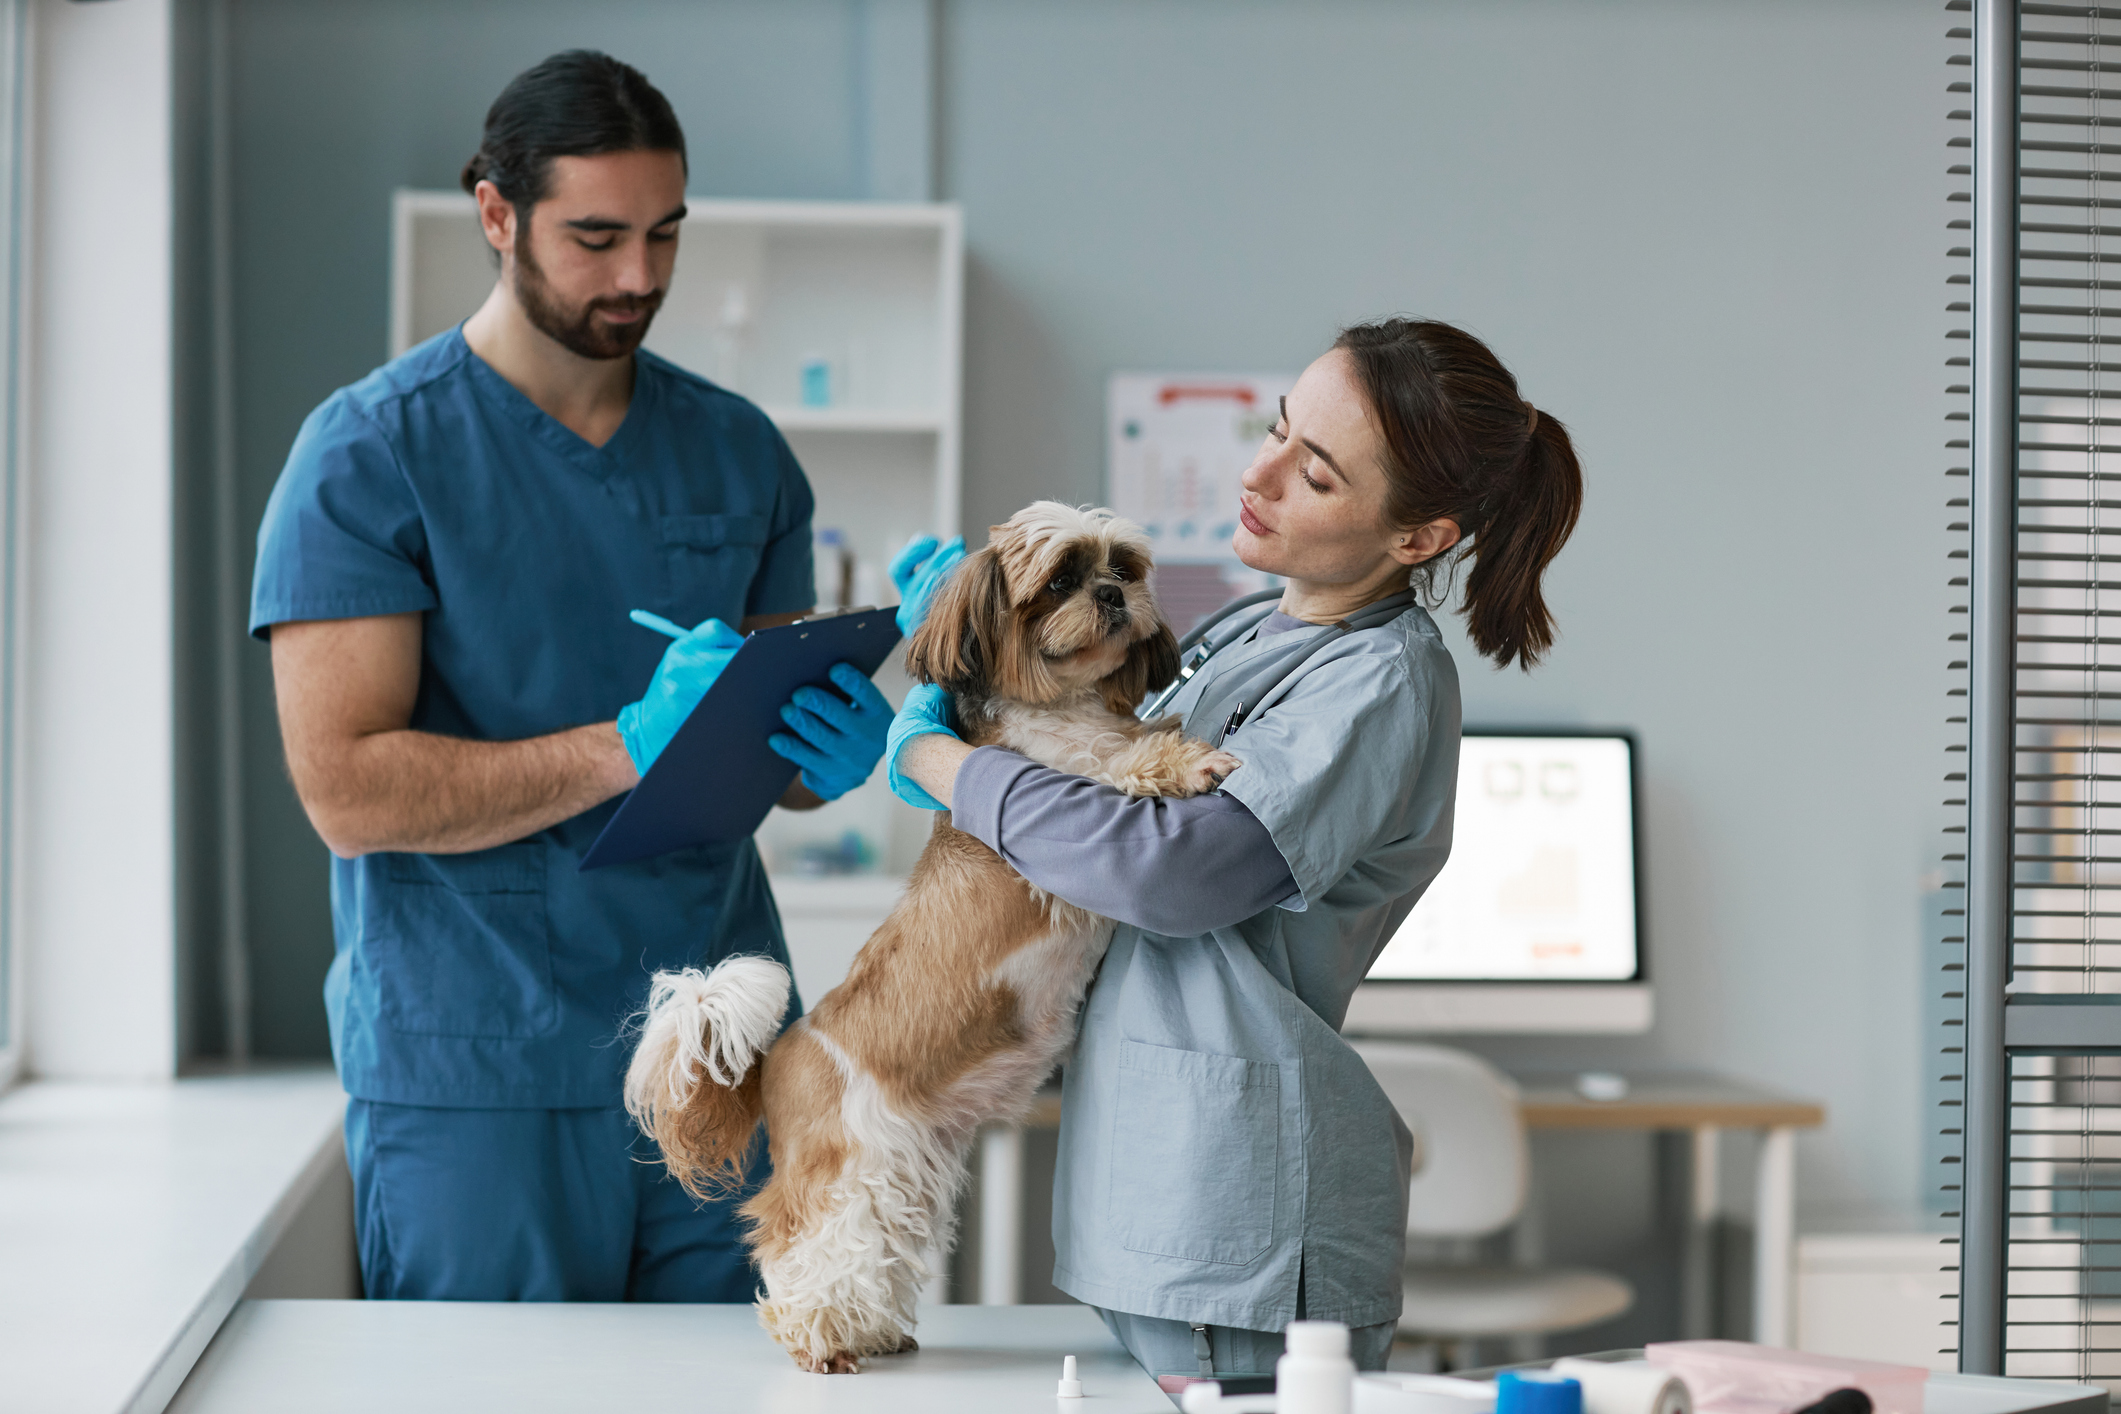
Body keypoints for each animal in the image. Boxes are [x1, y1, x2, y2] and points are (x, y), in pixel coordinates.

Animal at [619, 506, 1238, 1373]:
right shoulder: (1059, 779)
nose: (1114, 595)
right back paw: (817, 1341)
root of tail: (778, 1057)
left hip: (903, 1175)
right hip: (847, 1173)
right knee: (797, 1247)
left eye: (1124, 567)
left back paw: (877, 1332)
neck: (1068, 705)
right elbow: (1118, 757)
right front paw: (1186, 759)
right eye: (1060, 581)